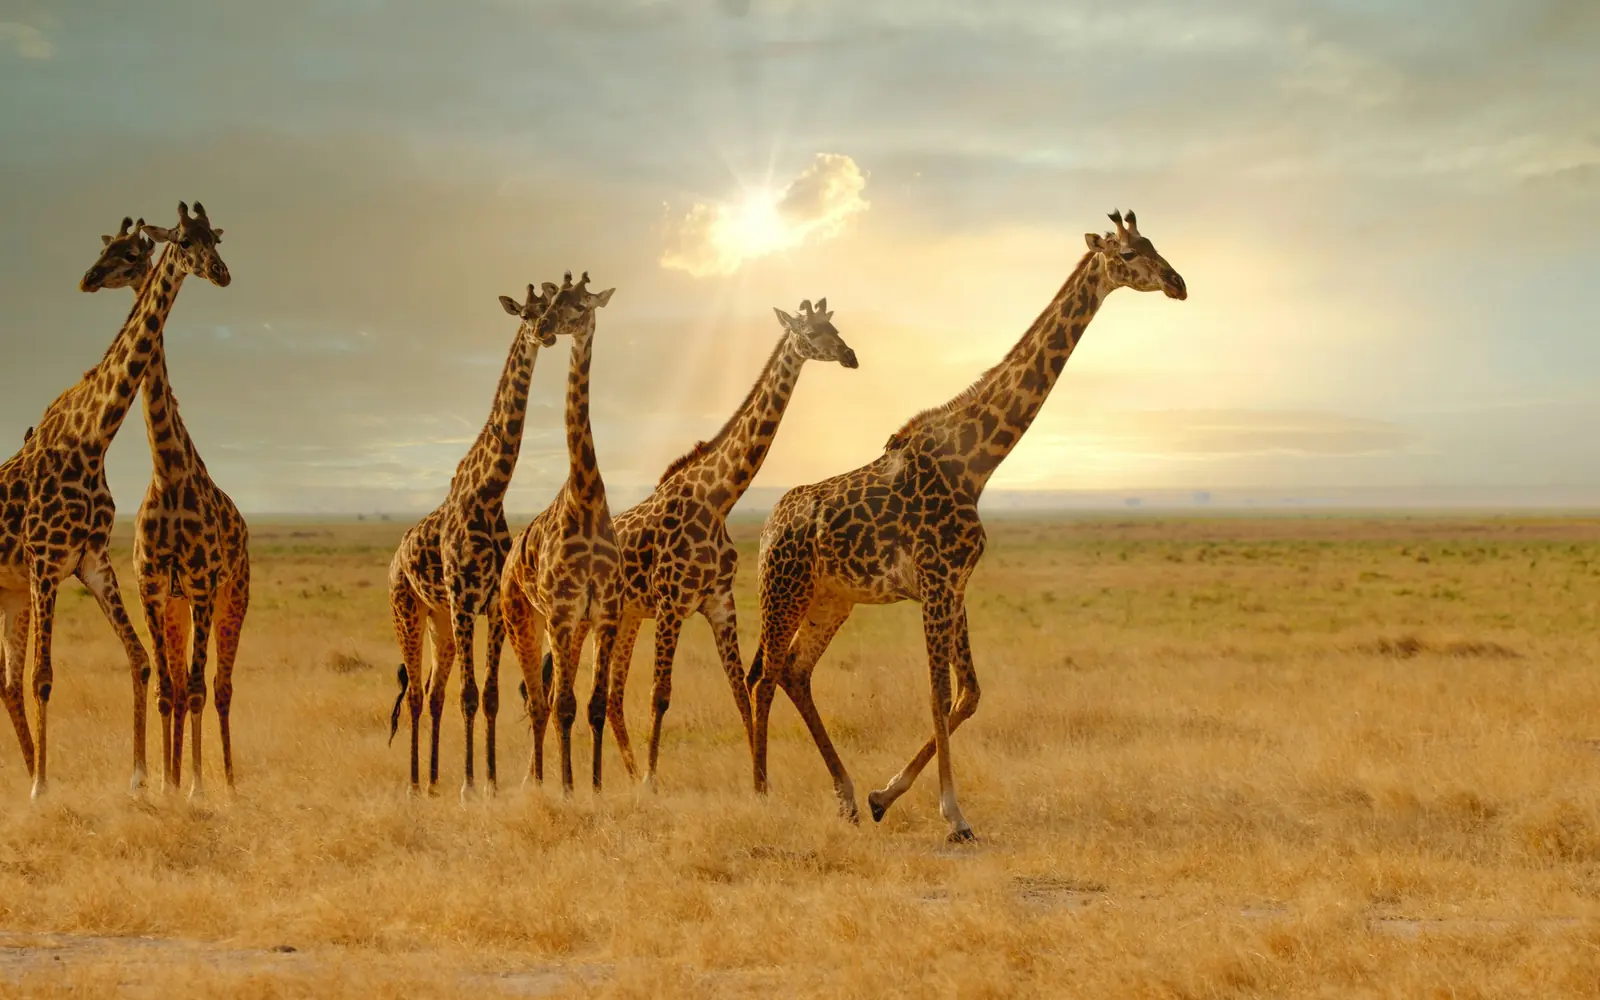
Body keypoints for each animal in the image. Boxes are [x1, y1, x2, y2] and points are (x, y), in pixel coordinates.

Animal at [0, 203, 230, 800]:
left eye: (215, 241)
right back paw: (30, 775)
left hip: (10, 593)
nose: (86, 278)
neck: (92, 438)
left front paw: (141, 778)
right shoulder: (44, 563)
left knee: (5, 682)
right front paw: (42, 788)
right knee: (16, 679)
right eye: (183, 241)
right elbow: (44, 676)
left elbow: (142, 661)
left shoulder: (92, 563)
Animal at [386, 280, 562, 796]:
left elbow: (489, 695)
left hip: (439, 620)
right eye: (525, 313)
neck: (489, 491)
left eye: (552, 308)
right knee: (416, 695)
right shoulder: (465, 602)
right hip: (407, 609)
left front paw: (489, 782)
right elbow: (469, 694)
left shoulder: (491, 608)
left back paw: (432, 781)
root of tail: (394, 559)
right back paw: (414, 785)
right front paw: (469, 786)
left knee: (432, 691)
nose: (544, 332)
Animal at [597, 298, 857, 789]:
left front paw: (760, 783)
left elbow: (739, 690)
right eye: (809, 332)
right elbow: (661, 694)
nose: (850, 355)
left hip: (625, 618)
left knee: (608, 695)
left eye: (835, 327)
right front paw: (654, 782)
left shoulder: (719, 602)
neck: (719, 499)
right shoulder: (671, 603)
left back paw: (623, 774)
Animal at [748, 210, 1187, 841]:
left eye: (1153, 244)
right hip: (784, 591)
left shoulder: (955, 585)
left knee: (794, 672)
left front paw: (884, 796)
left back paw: (847, 797)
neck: (975, 462)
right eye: (1127, 254)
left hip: (832, 599)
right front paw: (953, 815)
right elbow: (937, 695)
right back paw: (761, 793)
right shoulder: (934, 583)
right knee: (764, 676)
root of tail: (766, 530)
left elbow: (970, 694)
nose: (1179, 283)